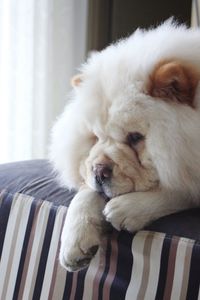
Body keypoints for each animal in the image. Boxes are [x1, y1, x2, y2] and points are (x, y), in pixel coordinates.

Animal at [49, 19, 200, 270]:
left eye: (135, 137)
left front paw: (126, 209)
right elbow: (85, 193)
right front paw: (74, 243)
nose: (99, 170)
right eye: (95, 137)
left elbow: (181, 189)